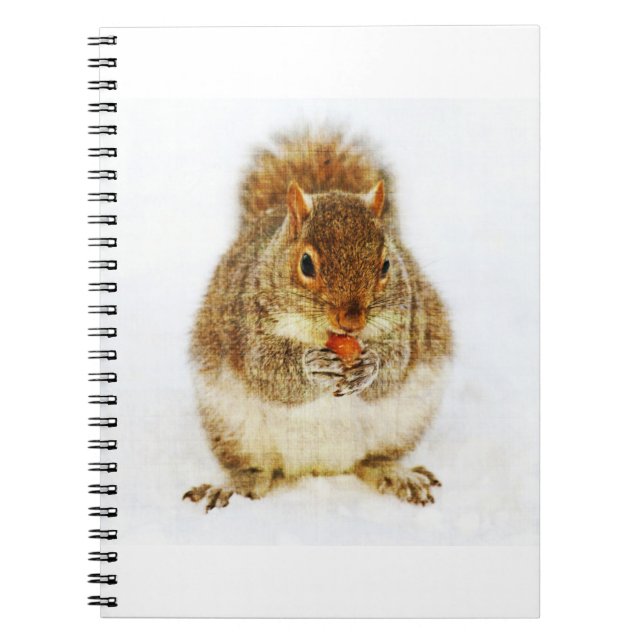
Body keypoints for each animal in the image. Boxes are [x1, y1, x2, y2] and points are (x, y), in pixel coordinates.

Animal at [184, 129, 453, 511]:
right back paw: (233, 486)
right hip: (232, 426)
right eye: (306, 264)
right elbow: (271, 373)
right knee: (255, 470)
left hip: (405, 421)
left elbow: (393, 368)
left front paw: (370, 365)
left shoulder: (408, 323)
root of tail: (319, 466)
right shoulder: (247, 324)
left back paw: (396, 475)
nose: (351, 321)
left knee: (372, 461)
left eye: (386, 264)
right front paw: (313, 366)